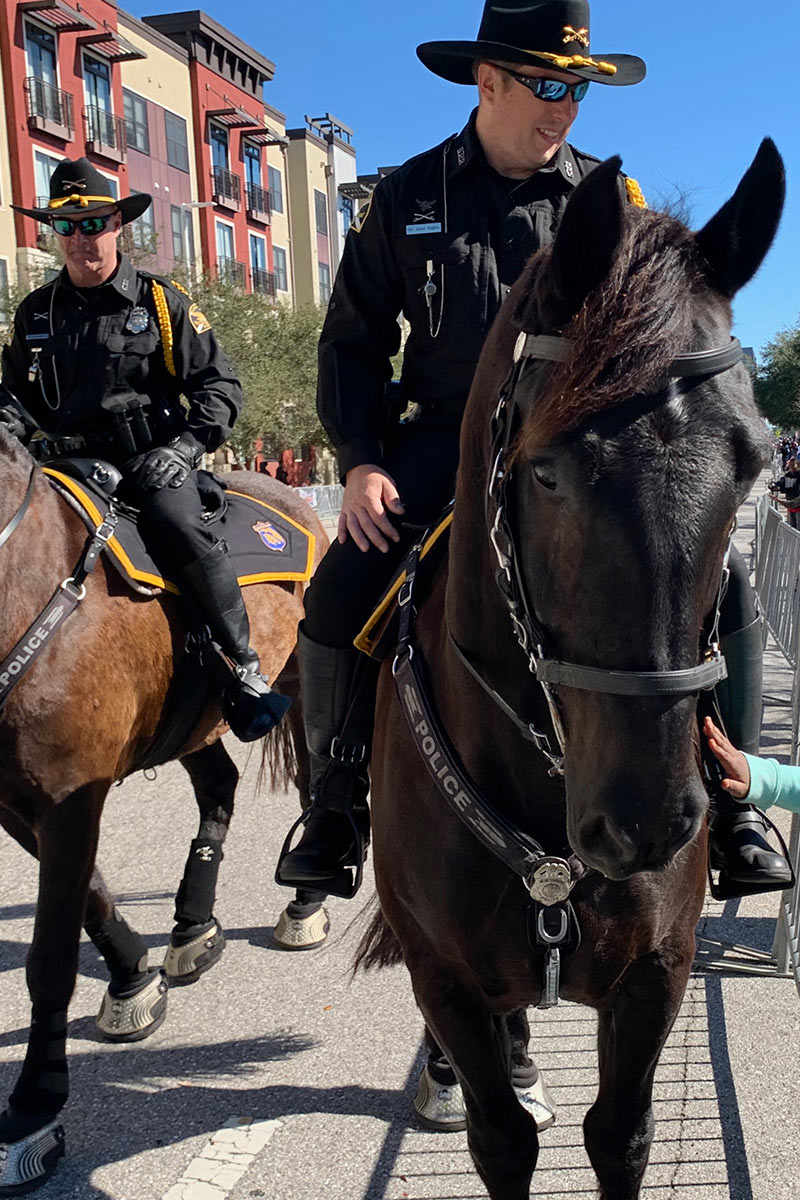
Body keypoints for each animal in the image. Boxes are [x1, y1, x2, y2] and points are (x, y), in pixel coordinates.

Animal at [0, 439, 326, 1190]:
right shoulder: (21, 798)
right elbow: (90, 899)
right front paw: (132, 980)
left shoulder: (68, 797)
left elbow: (50, 953)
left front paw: (35, 1104)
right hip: (197, 722)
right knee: (219, 790)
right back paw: (192, 924)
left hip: (306, 684)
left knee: (315, 782)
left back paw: (305, 904)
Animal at [364, 142, 786, 1200]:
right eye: (547, 471)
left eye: (752, 464)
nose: (648, 824)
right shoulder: (446, 980)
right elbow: (502, 1138)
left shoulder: (656, 975)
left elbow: (619, 1135)